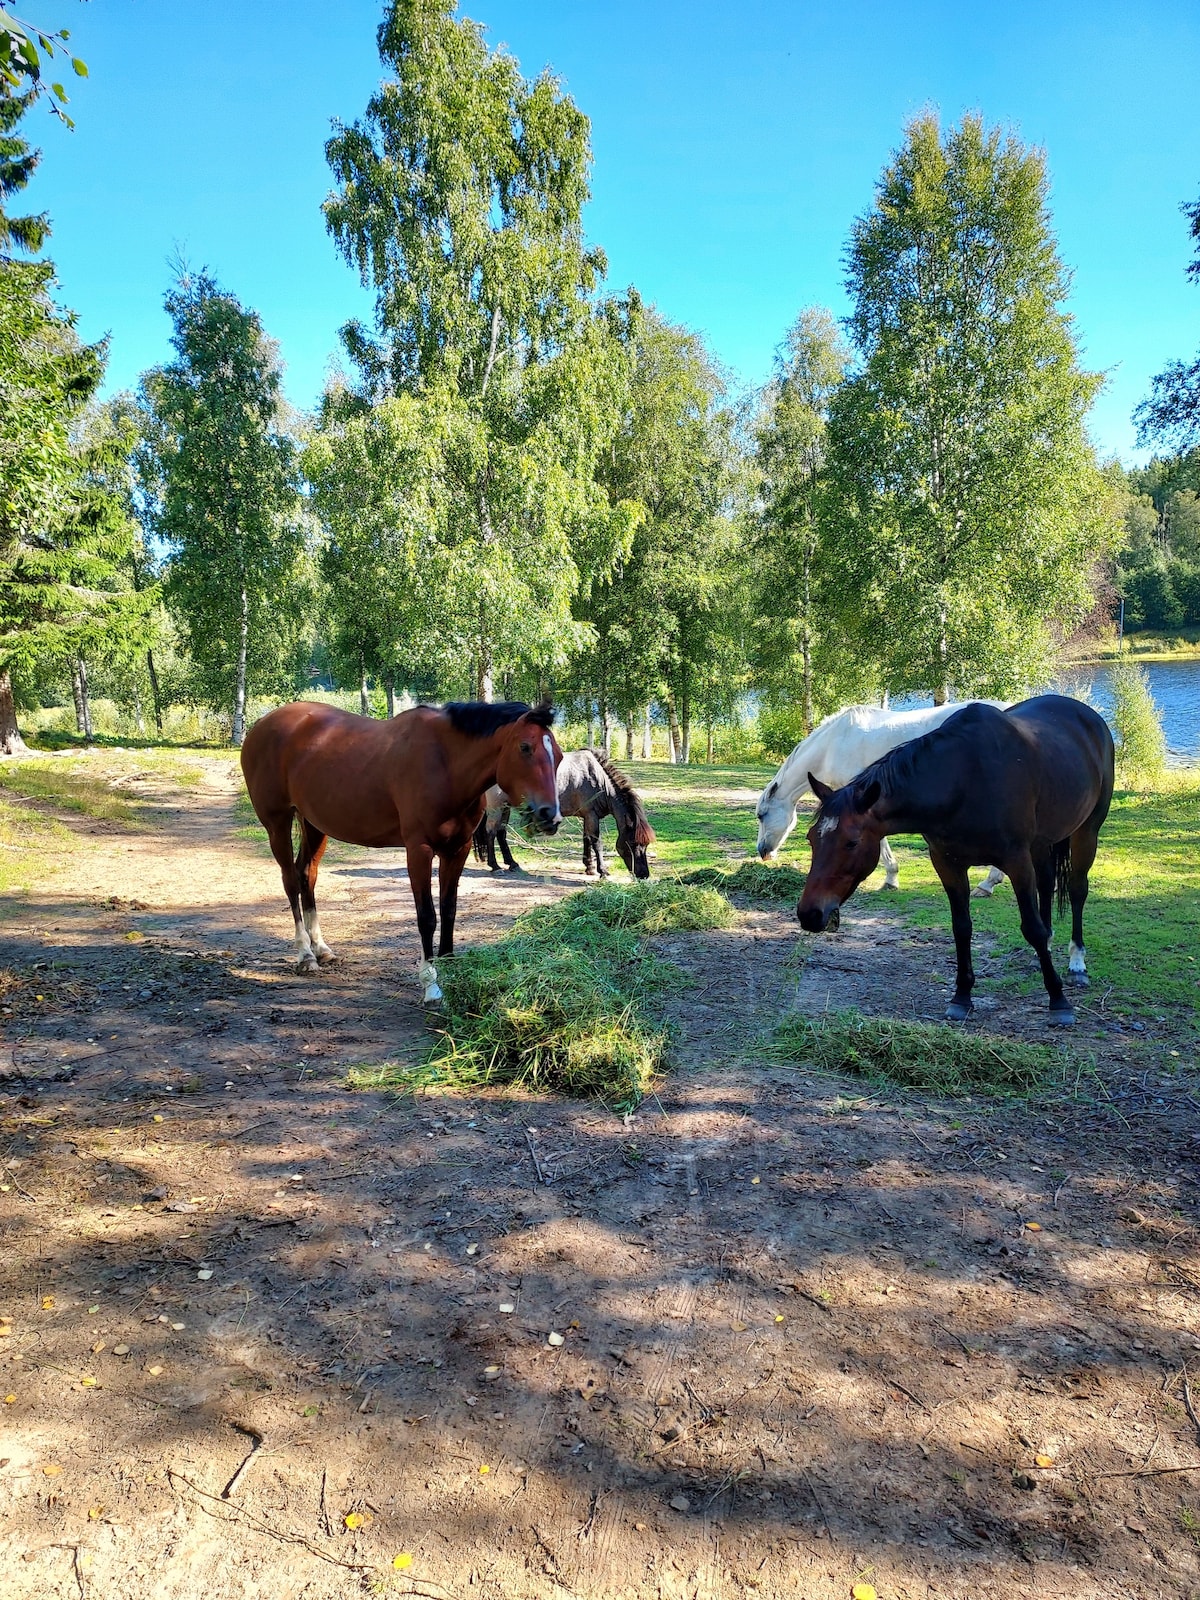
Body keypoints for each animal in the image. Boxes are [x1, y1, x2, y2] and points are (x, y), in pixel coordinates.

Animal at [244, 700, 569, 998]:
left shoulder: (457, 849)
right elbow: (427, 916)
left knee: (306, 875)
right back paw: (305, 955)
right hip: (277, 822)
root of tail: (261, 724)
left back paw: (322, 949)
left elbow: (449, 909)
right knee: (290, 881)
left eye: (559, 755)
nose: (550, 816)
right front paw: (431, 984)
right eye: (525, 747)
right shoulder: (419, 850)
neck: (446, 763)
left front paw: (450, 965)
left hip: (314, 824)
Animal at [473, 745, 659, 883]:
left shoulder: (586, 816)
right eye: (633, 844)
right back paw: (495, 866)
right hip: (497, 807)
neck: (599, 780)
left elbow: (586, 839)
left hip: (505, 807)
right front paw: (603, 871)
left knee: (501, 833)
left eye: (646, 845)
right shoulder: (591, 815)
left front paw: (589, 868)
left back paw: (512, 864)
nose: (644, 875)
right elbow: (596, 842)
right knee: (491, 832)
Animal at [800, 697, 1120, 1024]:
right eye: (811, 838)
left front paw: (1058, 1000)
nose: (809, 914)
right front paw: (962, 996)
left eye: (851, 842)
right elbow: (962, 927)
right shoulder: (947, 864)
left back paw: (1077, 962)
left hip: (1087, 831)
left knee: (1077, 890)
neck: (962, 780)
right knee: (1047, 885)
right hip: (1043, 843)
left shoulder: (1017, 861)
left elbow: (1031, 927)